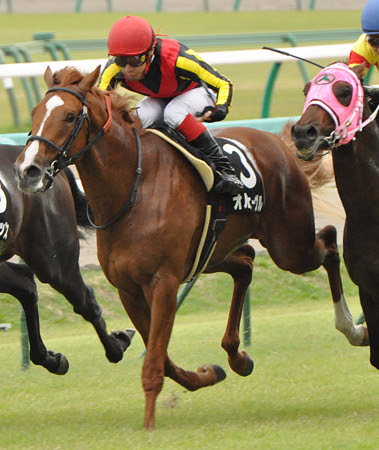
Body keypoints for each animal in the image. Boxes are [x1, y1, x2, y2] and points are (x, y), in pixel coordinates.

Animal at [14, 65, 368, 430]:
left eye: (70, 116)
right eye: (35, 112)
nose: (27, 171)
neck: (134, 188)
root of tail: (277, 142)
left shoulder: (164, 283)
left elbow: (155, 360)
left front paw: (149, 424)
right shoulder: (129, 289)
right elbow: (162, 357)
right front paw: (206, 374)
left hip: (289, 245)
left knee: (328, 240)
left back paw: (354, 329)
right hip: (212, 252)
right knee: (246, 262)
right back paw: (237, 356)